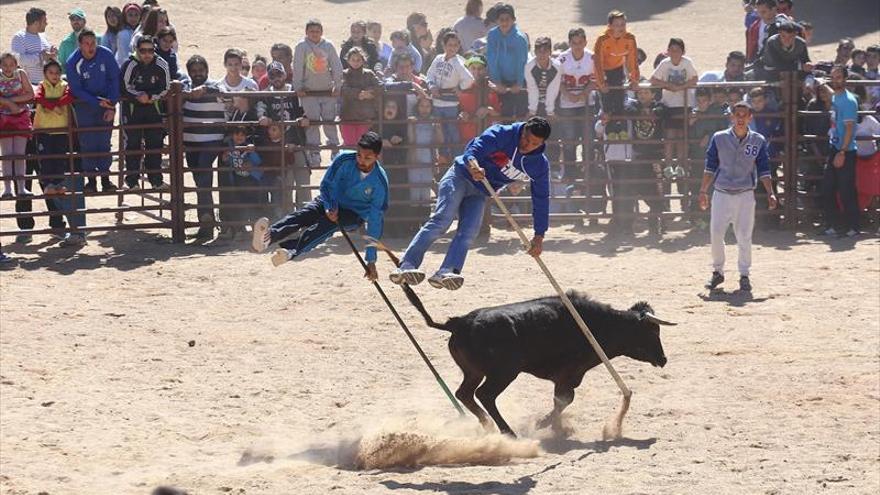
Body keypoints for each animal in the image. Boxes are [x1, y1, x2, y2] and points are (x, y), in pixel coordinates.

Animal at [398, 286, 672, 438]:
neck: (596, 325)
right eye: (652, 332)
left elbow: (562, 400)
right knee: (485, 395)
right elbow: (564, 400)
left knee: (464, 394)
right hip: (504, 373)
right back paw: (507, 431)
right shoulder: (568, 374)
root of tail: (459, 323)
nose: (663, 359)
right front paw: (545, 423)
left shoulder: (567, 377)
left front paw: (556, 426)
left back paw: (487, 425)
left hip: (473, 372)